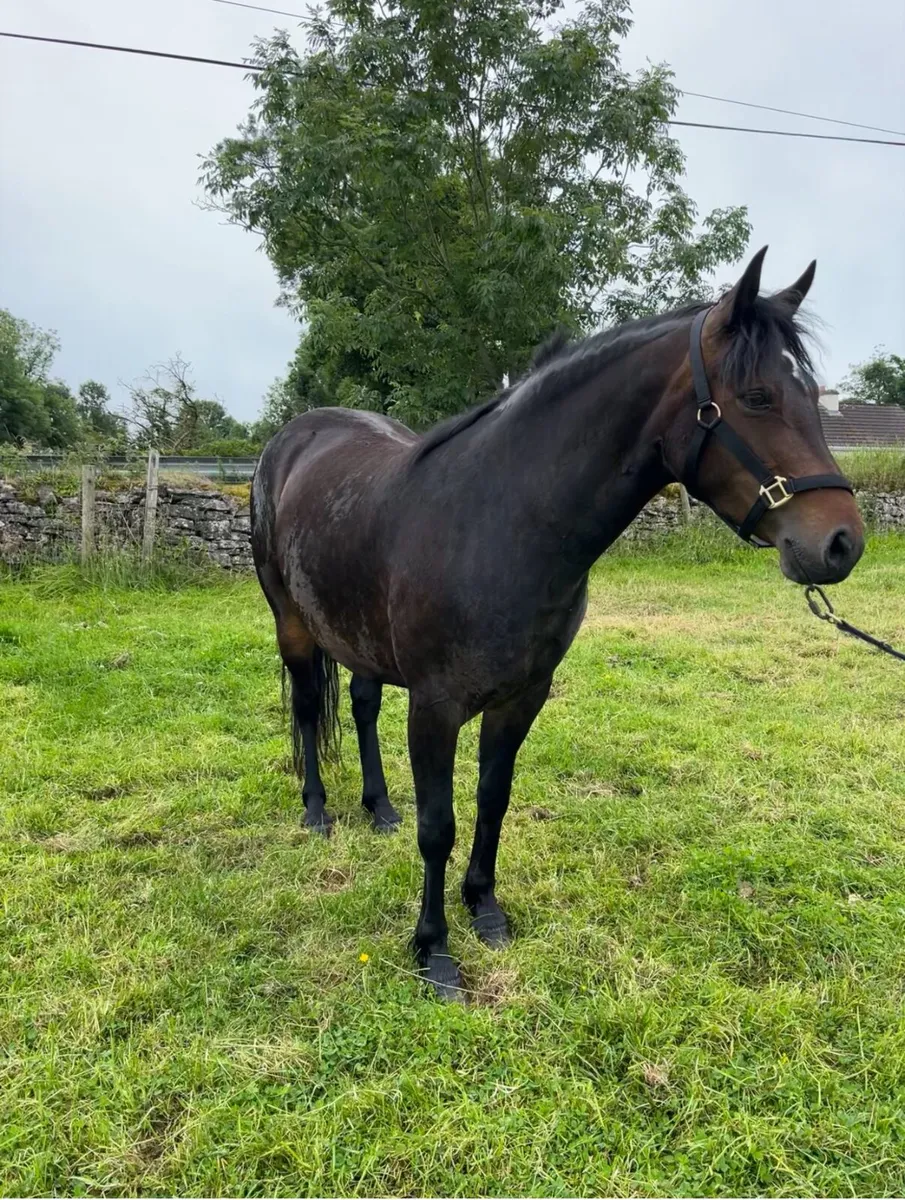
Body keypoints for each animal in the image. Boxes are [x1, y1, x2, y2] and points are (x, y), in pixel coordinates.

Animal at [251, 247, 863, 999]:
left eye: (811, 396)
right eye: (757, 397)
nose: (841, 542)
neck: (499, 522)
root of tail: (293, 438)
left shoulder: (523, 696)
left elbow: (492, 799)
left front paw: (484, 909)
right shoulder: (434, 706)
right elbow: (438, 825)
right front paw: (434, 952)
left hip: (358, 637)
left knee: (362, 706)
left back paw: (379, 808)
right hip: (293, 623)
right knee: (309, 708)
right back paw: (316, 811)